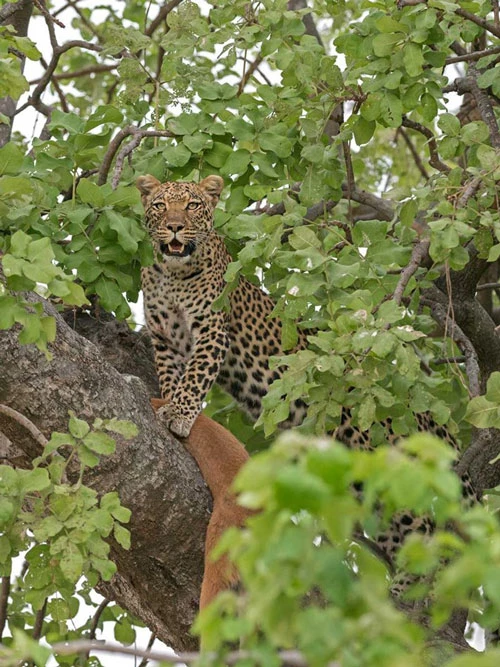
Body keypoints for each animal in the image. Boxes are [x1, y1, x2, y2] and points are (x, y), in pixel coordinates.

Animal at [136, 176, 476, 576]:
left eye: (191, 206)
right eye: (160, 206)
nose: (174, 226)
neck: (172, 274)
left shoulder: (211, 331)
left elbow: (195, 377)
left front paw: (179, 414)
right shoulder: (164, 339)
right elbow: (172, 378)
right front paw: (172, 407)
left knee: (423, 530)